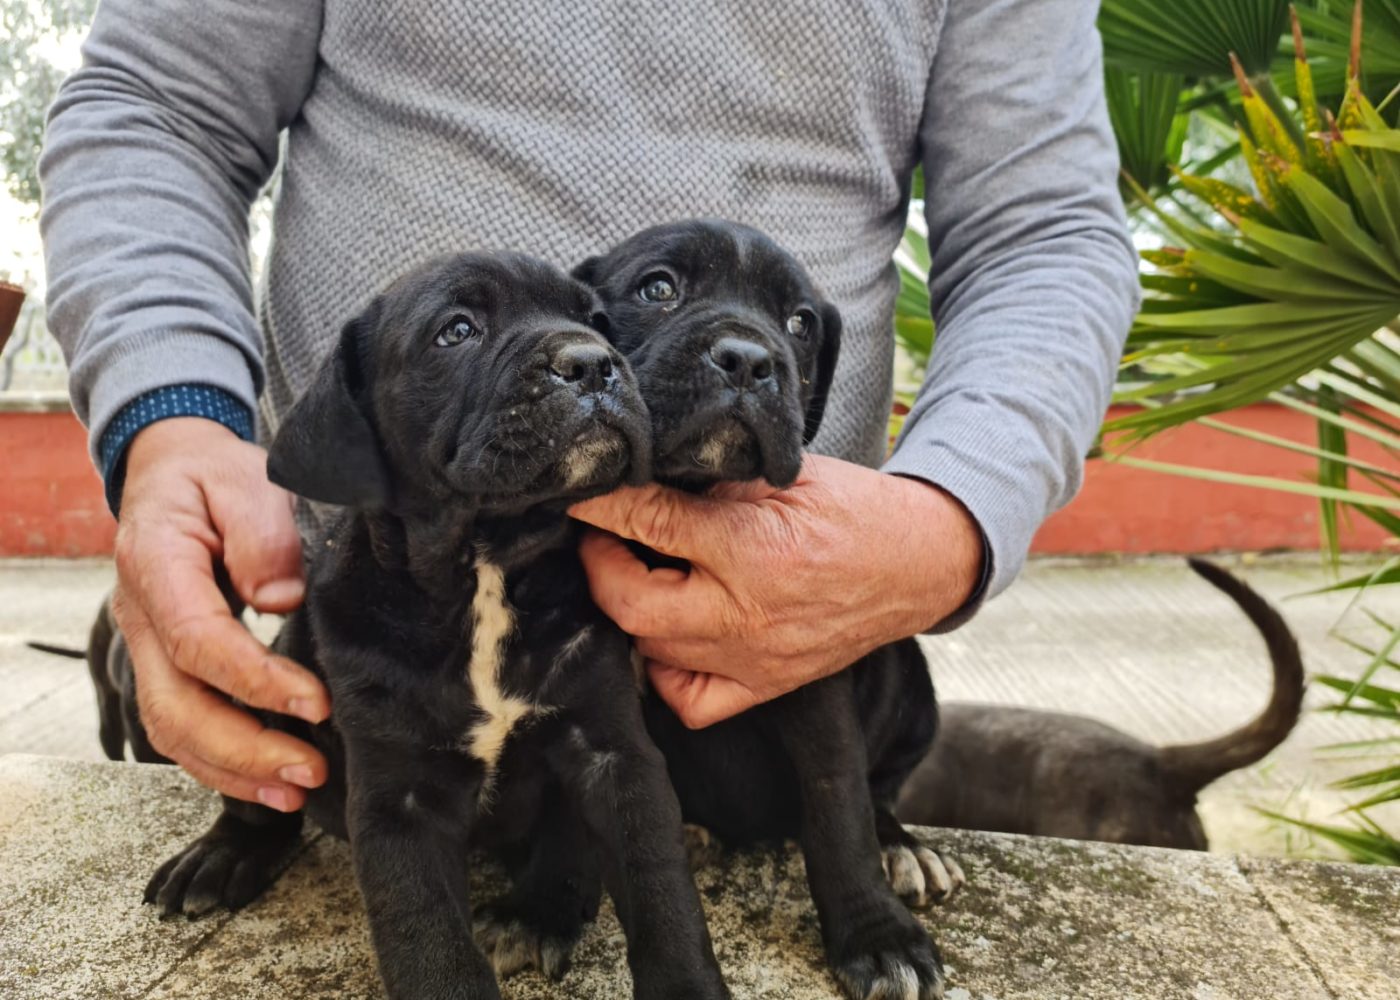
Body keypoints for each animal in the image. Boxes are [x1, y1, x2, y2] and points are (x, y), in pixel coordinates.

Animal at [113, 254, 728, 997]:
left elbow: (660, 890)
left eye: (599, 321)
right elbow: (428, 938)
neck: (487, 566)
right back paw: (223, 853)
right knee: (259, 800)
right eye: (456, 330)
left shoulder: (613, 751)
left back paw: (537, 913)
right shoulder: (397, 799)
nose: (592, 363)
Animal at [574, 222, 957, 997]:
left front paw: (879, 936)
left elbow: (839, 804)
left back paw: (901, 847)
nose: (750, 360)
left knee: (879, 788)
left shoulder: (807, 665)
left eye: (800, 323)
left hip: (906, 675)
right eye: (658, 288)